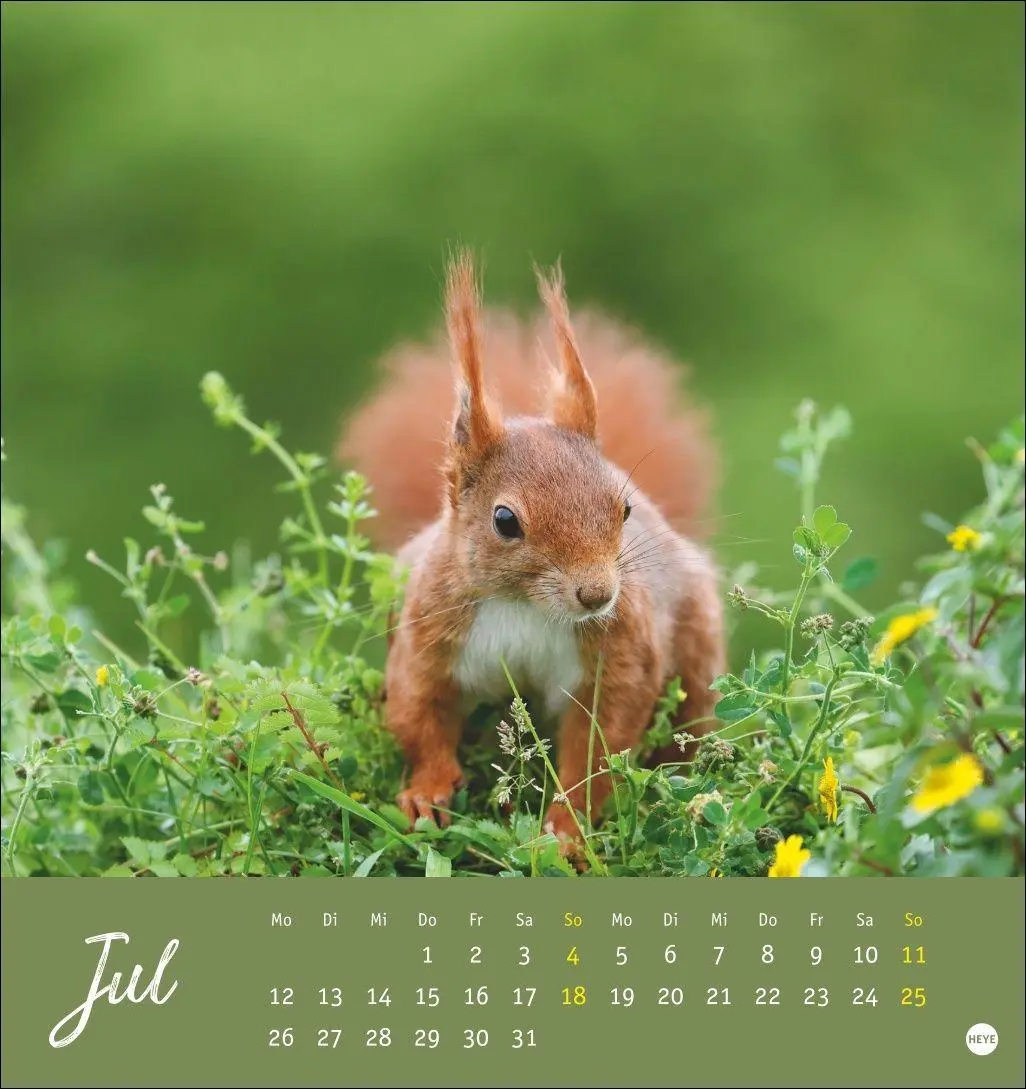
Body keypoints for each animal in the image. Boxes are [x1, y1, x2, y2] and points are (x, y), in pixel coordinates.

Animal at [338, 251, 725, 846]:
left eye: (624, 509)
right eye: (505, 521)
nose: (597, 595)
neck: (525, 605)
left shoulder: (619, 656)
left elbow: (598, 749)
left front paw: (568, 829)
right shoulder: (428, 637)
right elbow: (419, 716)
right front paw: (426, 792)